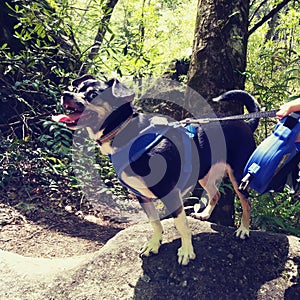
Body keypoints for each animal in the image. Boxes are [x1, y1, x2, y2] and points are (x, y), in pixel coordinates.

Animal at [52, 74, 260, 264]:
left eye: (93, 94)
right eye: (77, 89)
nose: (65, 94)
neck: (126, 133)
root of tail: (246, 123)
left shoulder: (169, 192)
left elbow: (181, 224)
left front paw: (186, 251)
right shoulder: (141, 196)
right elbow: (155, 222)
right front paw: (154, 244)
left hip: (238, 175)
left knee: (246, 202)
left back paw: (243, 230)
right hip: (205, 175)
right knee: (215, 193)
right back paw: (205, 214)